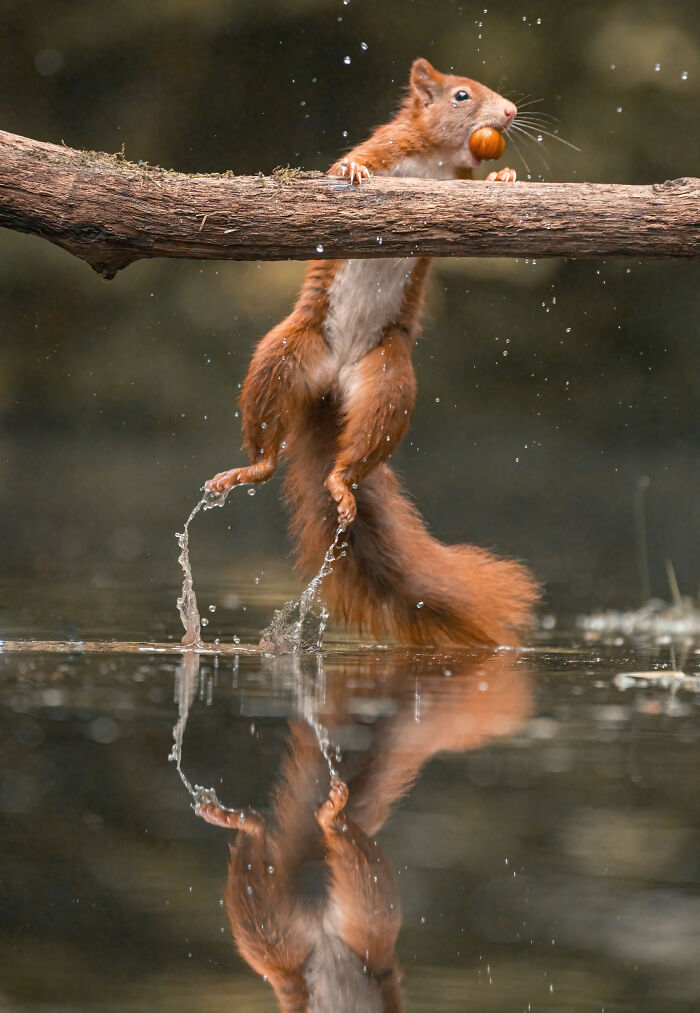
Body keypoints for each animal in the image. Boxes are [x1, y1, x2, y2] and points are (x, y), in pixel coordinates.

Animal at [206, 58, 539, 647]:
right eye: (460, 95)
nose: (510, 112)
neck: (434, 158)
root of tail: (332, 384)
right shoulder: (388, 143)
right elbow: (351, 161)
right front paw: (352, 171)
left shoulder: (458, 184)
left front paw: (503, 179)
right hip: (285, 353)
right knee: (267, 448)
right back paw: (251, 468)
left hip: (387, 381)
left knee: (360, 447)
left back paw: (340, 481)